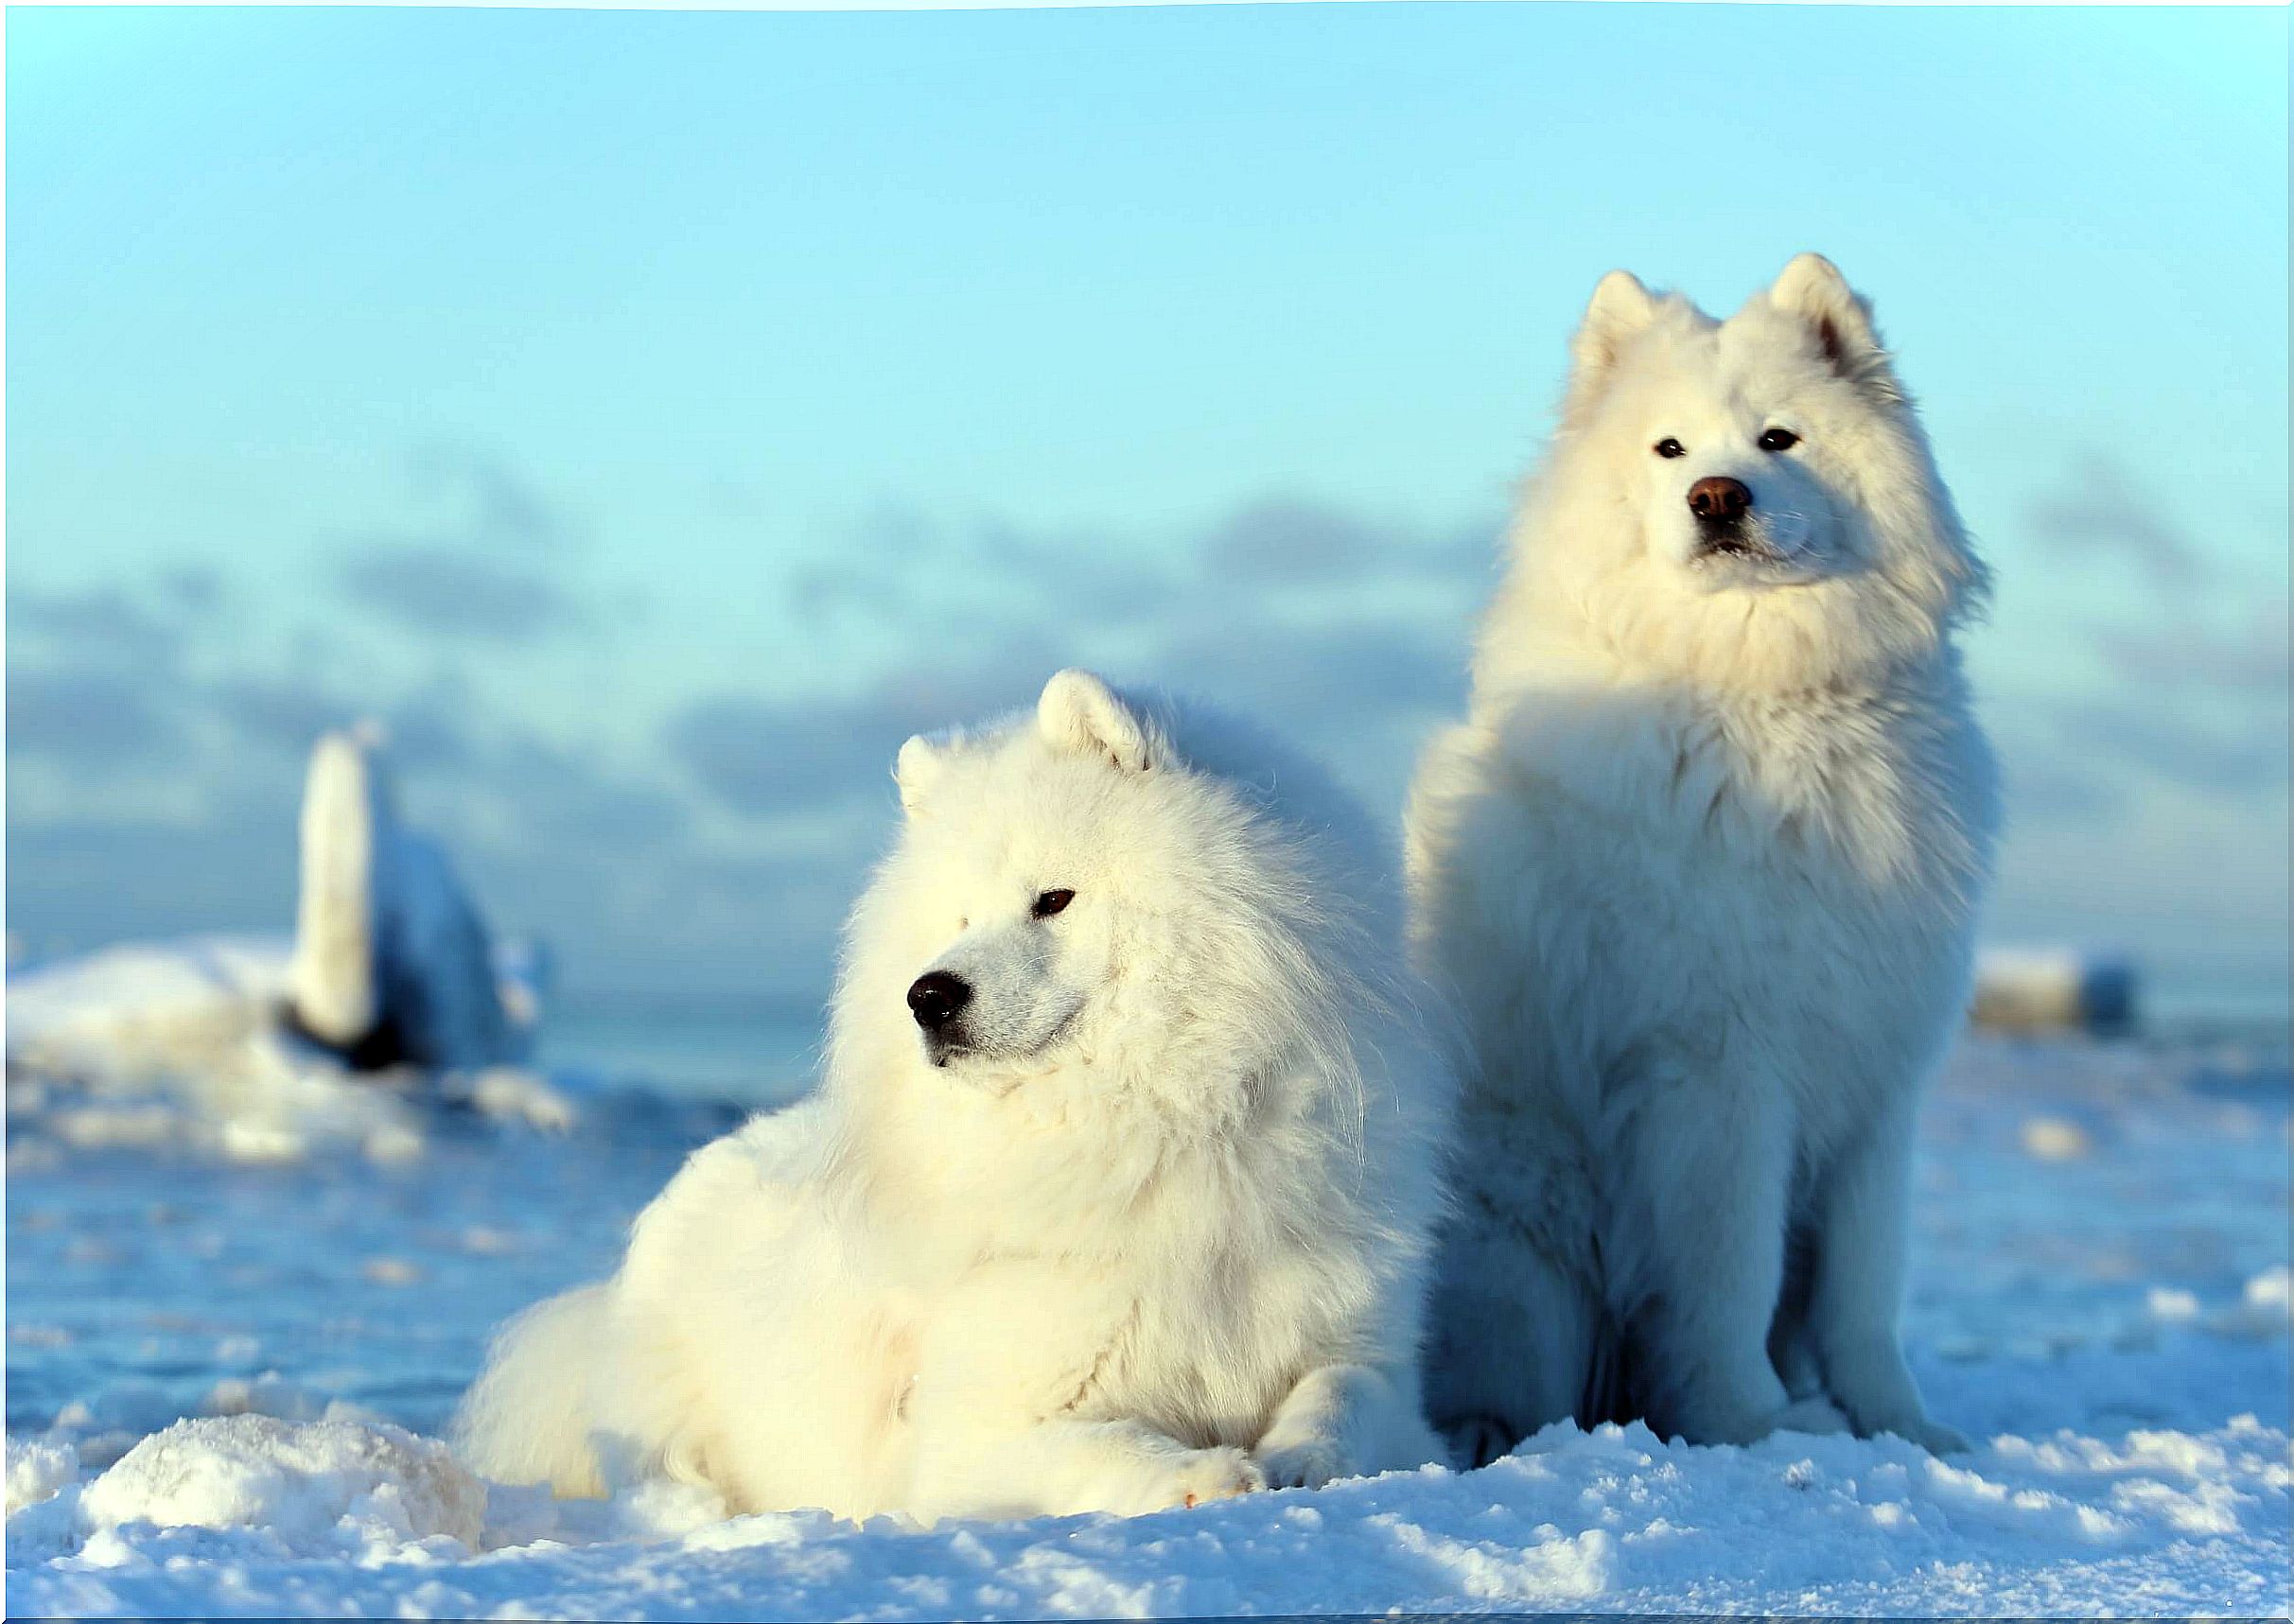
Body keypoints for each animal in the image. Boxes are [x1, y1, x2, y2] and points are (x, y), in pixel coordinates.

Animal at [454, 670, 1440, 1523]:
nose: (928, 996)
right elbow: (1105, 1444)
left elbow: (1343, 1392)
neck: (1158, 1127)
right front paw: (1204, 1473)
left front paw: (1299, 1454)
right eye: (958, 919)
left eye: (1053, 898)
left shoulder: (1366, 1349)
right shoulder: (976, 1433)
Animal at [1394, 256, 1990, 1458]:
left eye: (1778, 437)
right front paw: (1752, 1425)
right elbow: (1726, 1278)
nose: (1716, 496)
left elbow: (1863, 1293)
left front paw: (1900, 1432)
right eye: (1668, 449)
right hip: (1520, 1237)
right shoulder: (1714, 1076)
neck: (1766, 696)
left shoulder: (1876, 1083)